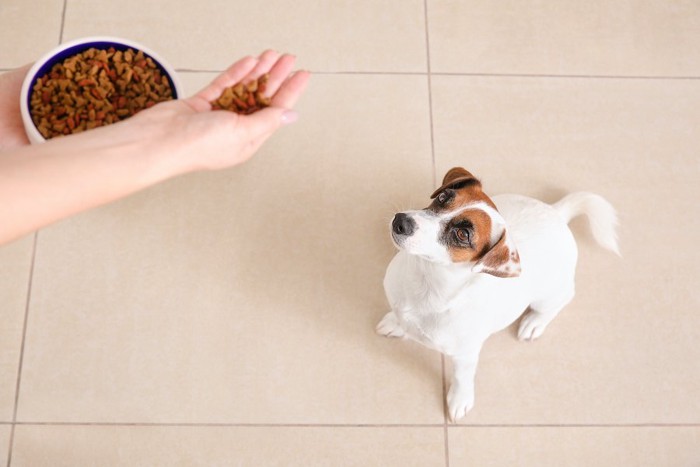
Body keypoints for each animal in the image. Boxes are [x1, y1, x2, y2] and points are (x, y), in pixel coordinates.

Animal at [378, 167, 616, 420]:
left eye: (462, 234)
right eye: (443, 197)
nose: (400, 221)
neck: (427, 283)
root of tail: (557, 213)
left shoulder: (465, 354)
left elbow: (462, 377)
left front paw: (460, 399)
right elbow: (399, 317)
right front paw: (395, 323)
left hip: (549, 294)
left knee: (561, 300)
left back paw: (534, 322)